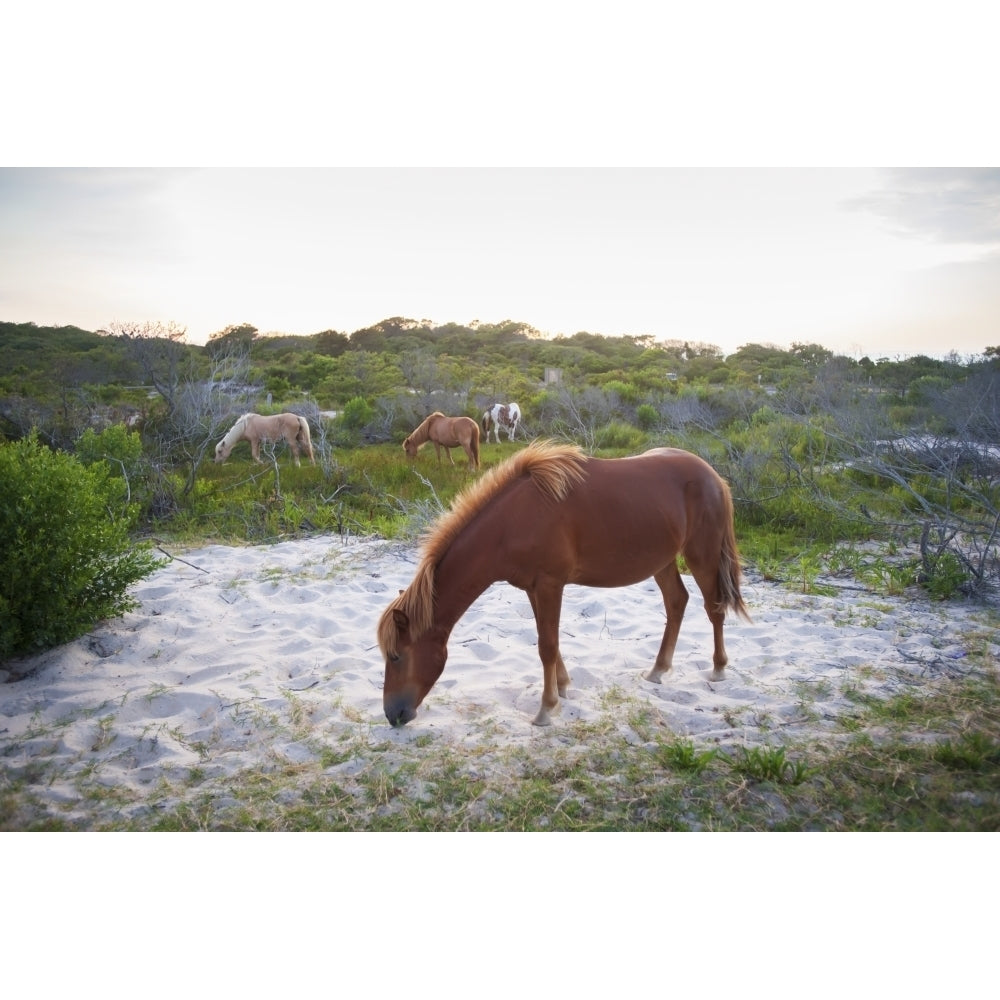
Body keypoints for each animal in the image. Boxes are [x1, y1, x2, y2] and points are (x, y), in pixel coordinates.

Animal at [378, 438, 748, 728]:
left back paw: (718, 668)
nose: (393, 715)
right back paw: (657, 670)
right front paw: (564, 687)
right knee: (676, 601)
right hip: (663, 561)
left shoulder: (549, 585)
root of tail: (713, 476)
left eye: (396, 656)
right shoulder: (533, 588)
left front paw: (546, 709)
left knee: (713, 607)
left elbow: (547, 646)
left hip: (702, 556)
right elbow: (548, 643)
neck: (512, 521)